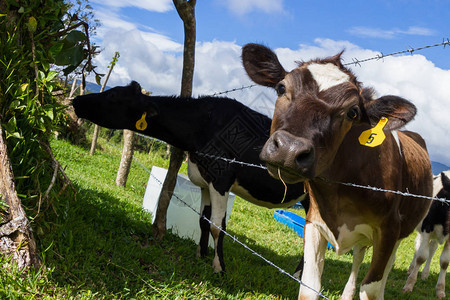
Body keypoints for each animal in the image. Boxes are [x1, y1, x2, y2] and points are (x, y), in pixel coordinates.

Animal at [72, 81, 308, 274]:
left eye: (113, 95)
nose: (76, 100)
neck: (203, 125)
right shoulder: (204, 181)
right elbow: (203, 221)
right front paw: (200, 256)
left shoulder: (221, 180)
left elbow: (217, 226)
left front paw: (219, 267)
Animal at [241, 42, 434, 300]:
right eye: (281, 88)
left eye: (352, 112)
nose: (290, 149)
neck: (337, 193)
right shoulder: (314, 222)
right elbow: (310, 286)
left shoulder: (389, 229)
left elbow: (371, 287)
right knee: (359, 256)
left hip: (403, 231)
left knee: (386, 267)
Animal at [404, 170, 450, 298]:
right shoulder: (426, 229)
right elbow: (421, 257)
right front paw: (409, 285)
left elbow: (445, 262)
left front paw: (440, 290)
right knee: (418, 246)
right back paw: (411, 269)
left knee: (432, 248)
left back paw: (425, 274)